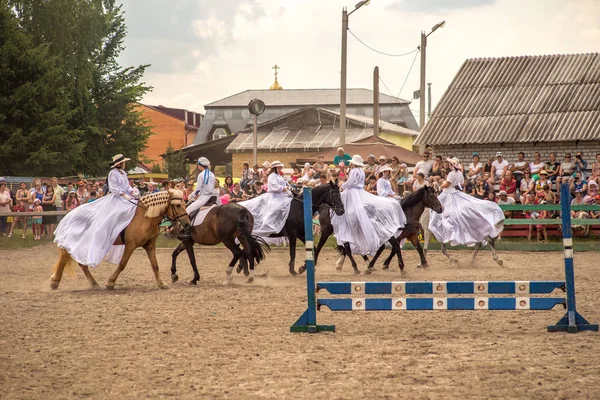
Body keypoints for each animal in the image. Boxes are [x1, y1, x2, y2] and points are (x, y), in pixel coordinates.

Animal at [50, 191, 190, 290]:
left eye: (185, 204)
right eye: (178, 205)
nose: (187, 224)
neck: (145, 217)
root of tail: (69, 214)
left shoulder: (150, 245)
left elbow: (155, 265)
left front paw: (161, 283)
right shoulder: (130, 245)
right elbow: (122, 264)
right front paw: (110, 282)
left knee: (81, 263)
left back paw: (94, 284)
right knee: (66, 258)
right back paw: (55, 282)